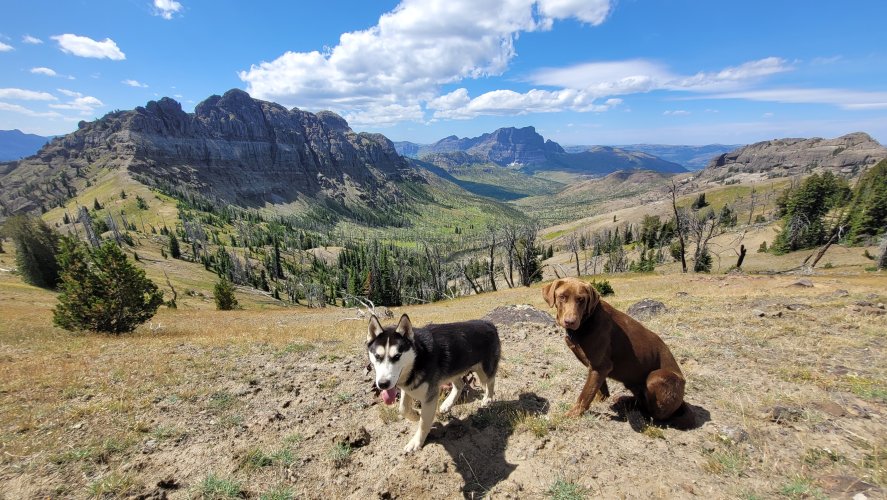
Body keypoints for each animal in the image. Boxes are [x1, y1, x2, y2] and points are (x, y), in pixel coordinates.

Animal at [540, 278, 688, 422]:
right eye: (562, 297)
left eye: (581, 299)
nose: (570, 321)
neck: (587, 321)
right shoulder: (597, 368)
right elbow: (600, 390)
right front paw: (599, 401)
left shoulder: (600, 366)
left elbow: (585, 395)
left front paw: (572, 414)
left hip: (657, 377)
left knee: (656, 413)